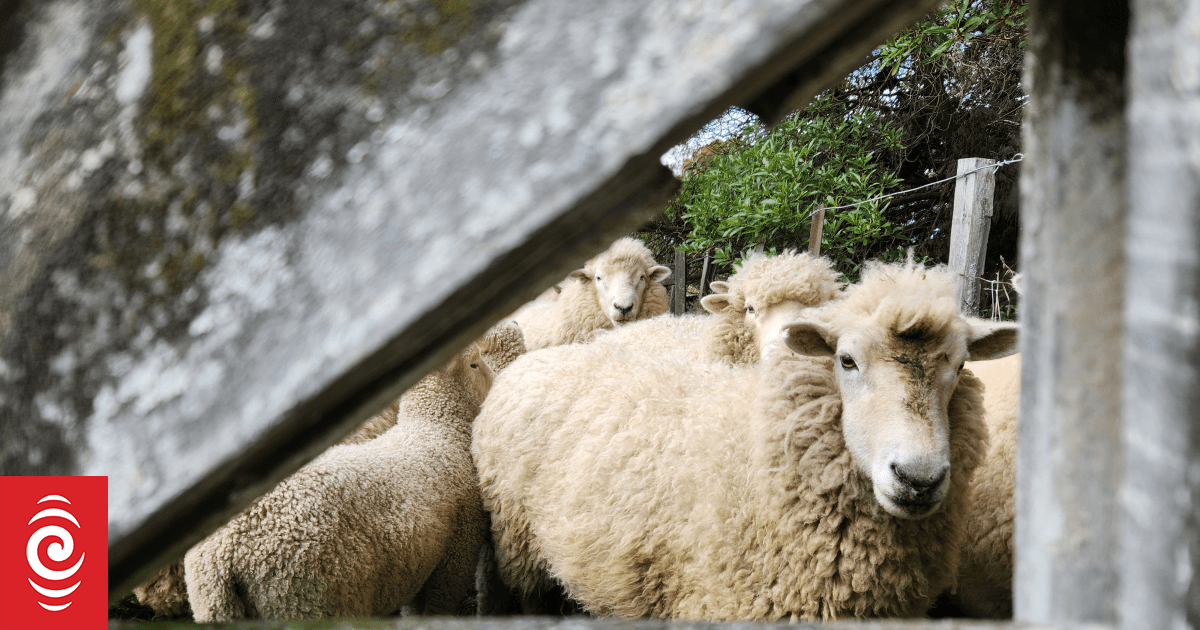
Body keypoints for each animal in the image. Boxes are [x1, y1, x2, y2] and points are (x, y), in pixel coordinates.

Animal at [184, 338, 502, 621]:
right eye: (474, 363)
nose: (497, 382)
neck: (436, 427)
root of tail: (221, 556)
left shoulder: (421, 562)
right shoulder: (455, 557)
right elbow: (438, 609)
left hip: (215, 607)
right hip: (306, 601)